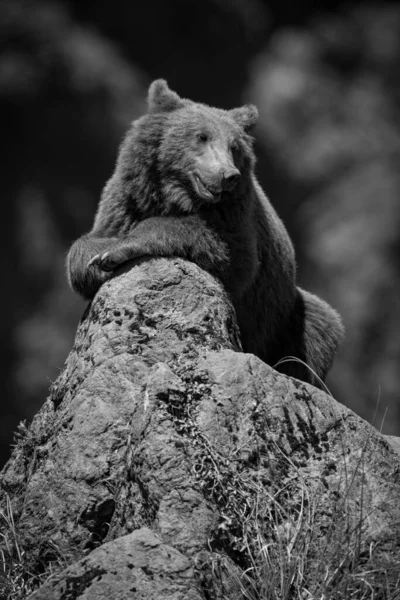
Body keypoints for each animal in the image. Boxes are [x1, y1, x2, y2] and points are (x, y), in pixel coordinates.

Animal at [68, 79, 344, 386]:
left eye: (234, 145)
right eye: (202, 136)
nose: (228, 175)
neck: (178, 195)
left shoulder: (236, 217)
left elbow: (232, 257)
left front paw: (116, 251)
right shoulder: (127, 201)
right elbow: (85, 246)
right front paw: (95, 259)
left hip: (282, 317)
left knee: (319, 327)